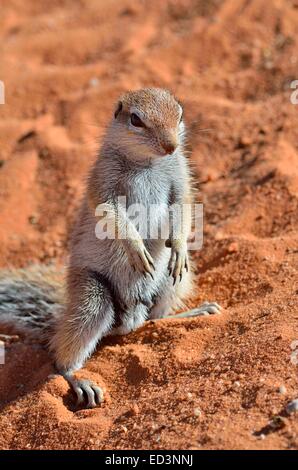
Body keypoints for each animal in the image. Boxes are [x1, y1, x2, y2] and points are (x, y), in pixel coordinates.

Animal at [0, 88, 221, 408]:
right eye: (135, 119)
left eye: (180, 114)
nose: (171, 146)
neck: (148, 163)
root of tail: (127, 320)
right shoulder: (103, 182)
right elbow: (112, 215)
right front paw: (134, 247)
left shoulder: (180, 179)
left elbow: (183, 208)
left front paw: (178, 246)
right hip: (93, 299)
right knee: (60, 359)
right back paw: (79, 379)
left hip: (173, 283)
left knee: (156, 317)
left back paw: (194, 312)